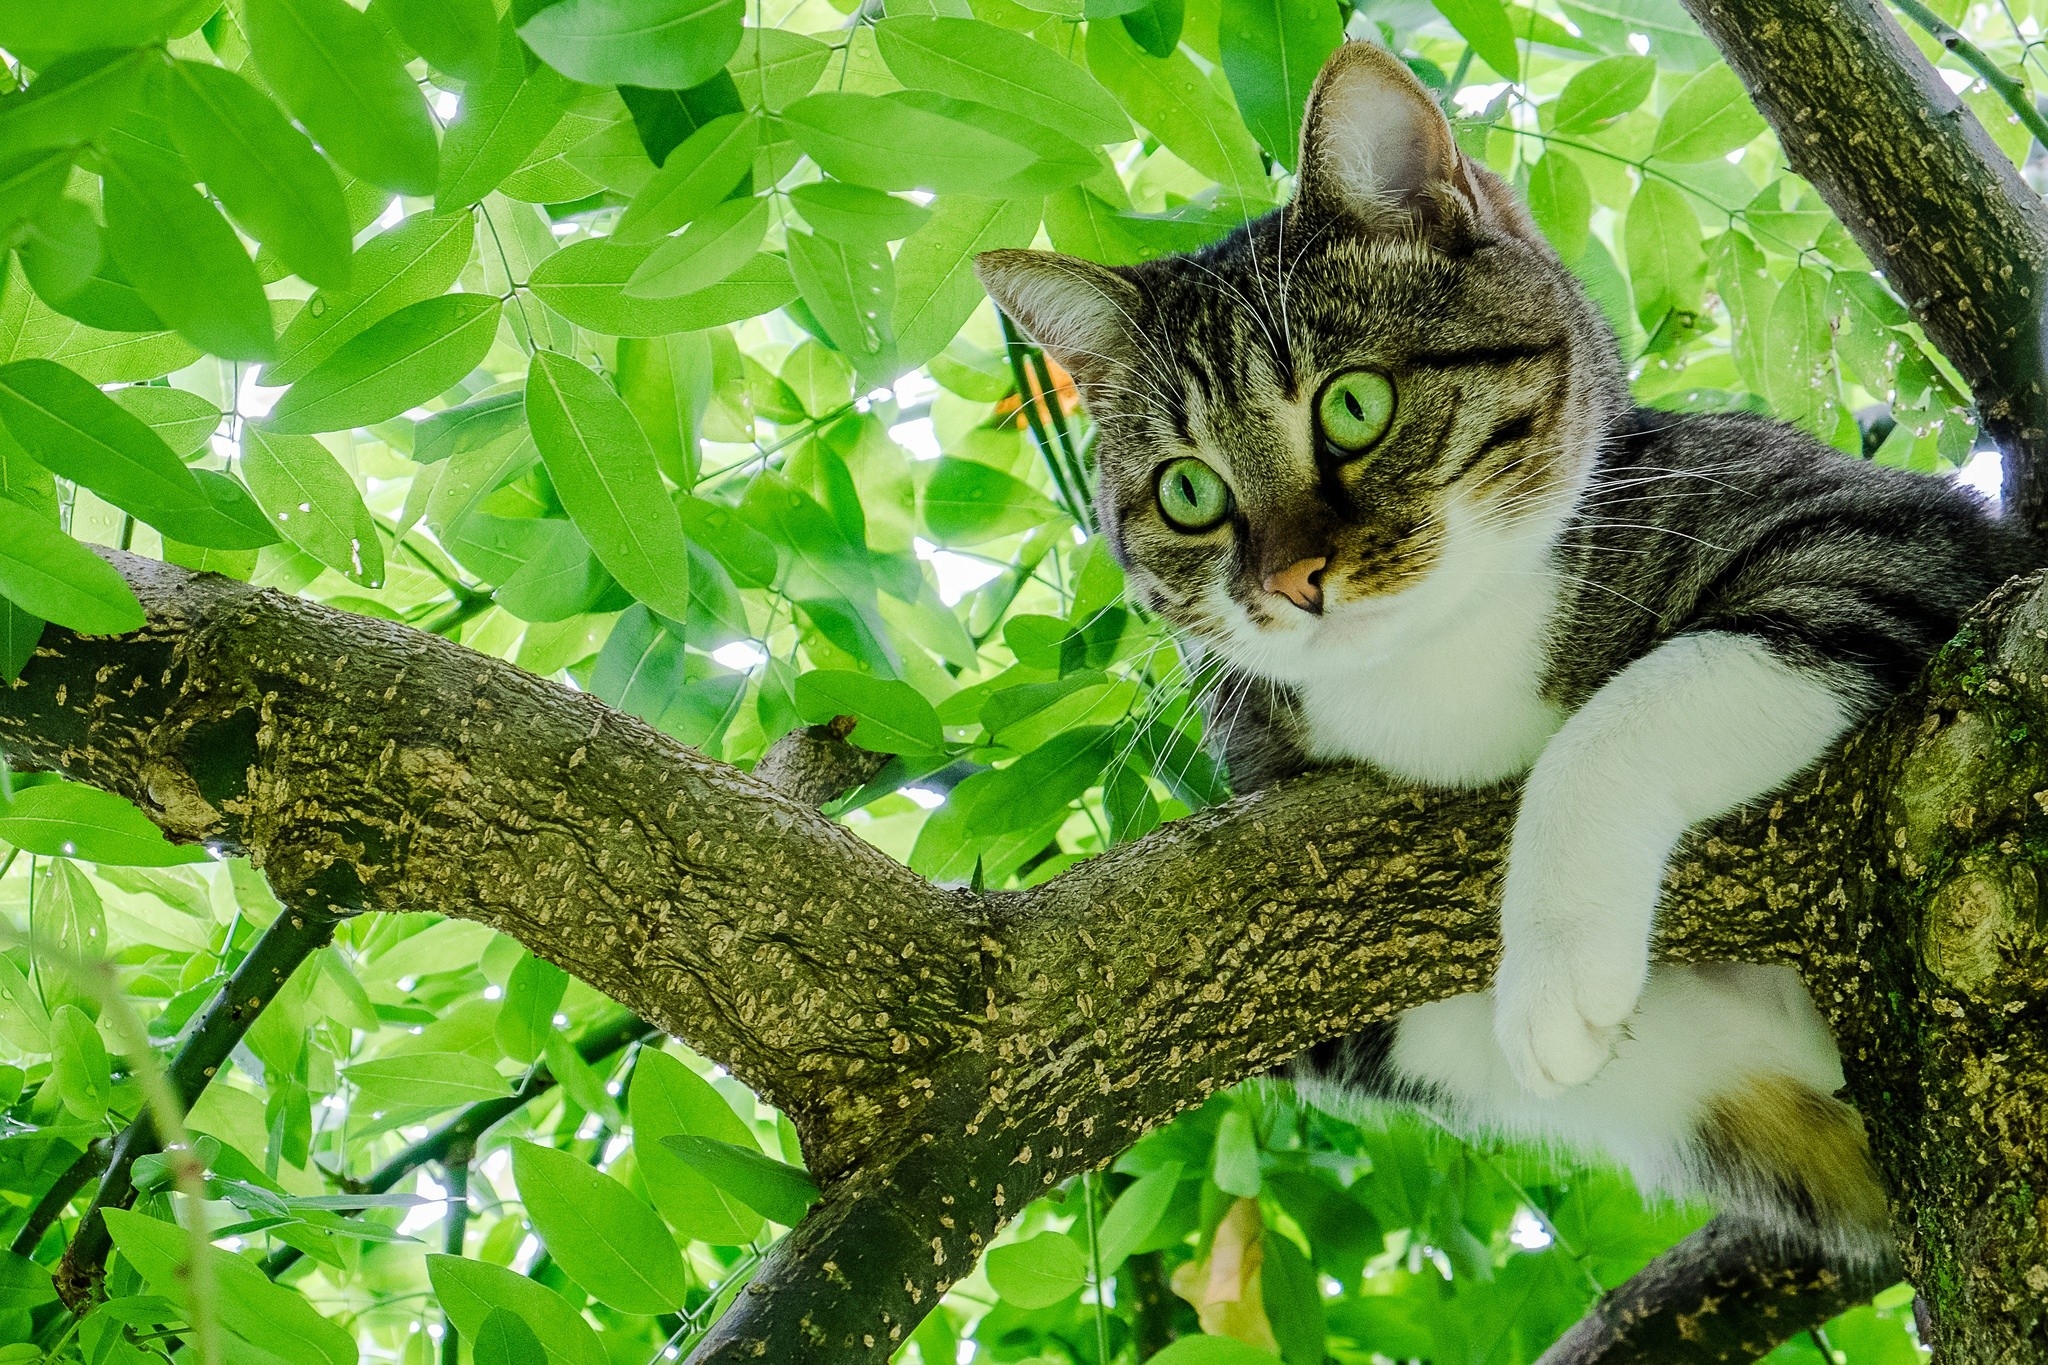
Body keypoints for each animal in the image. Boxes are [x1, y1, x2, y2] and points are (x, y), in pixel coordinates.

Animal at [974, 40, 2031, 1260]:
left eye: (1352, 407)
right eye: (1188, 491)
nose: (1287, 580)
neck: (1436, 676)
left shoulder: (1882, 534)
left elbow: (1625, 715)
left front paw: (1556, 965)